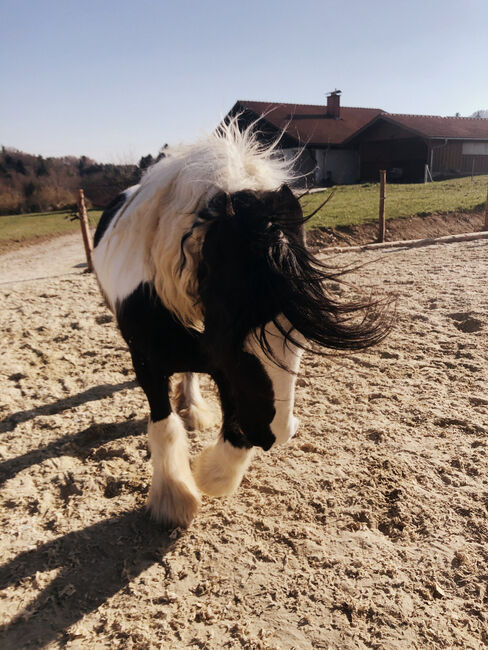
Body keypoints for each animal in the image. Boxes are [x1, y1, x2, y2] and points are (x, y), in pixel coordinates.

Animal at [91, 119, 390, 528]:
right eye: (234, 339)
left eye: (299, 335)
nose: (280, 435)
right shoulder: (154, 359)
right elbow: (164, 426)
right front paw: (175, 497)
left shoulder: (225, 371)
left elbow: (238, 427)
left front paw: (209, 474)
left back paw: (195, 409)